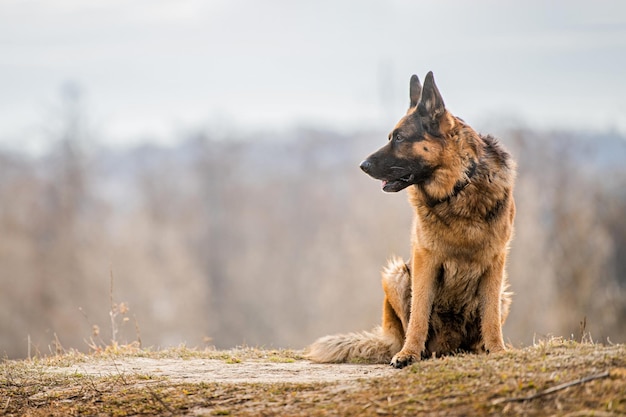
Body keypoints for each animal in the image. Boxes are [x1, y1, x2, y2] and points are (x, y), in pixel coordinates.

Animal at [304, 71, 516, 368]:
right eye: (390, 137)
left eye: (400, 138)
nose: (362, 166)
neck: (457, 188)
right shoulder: (425, 259)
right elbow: (419, 314)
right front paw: (409, 353)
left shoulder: (496, 261)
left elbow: (491, 317)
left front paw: (497, 350)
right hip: (395, 274)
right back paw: (413, 350)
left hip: (504, 295)